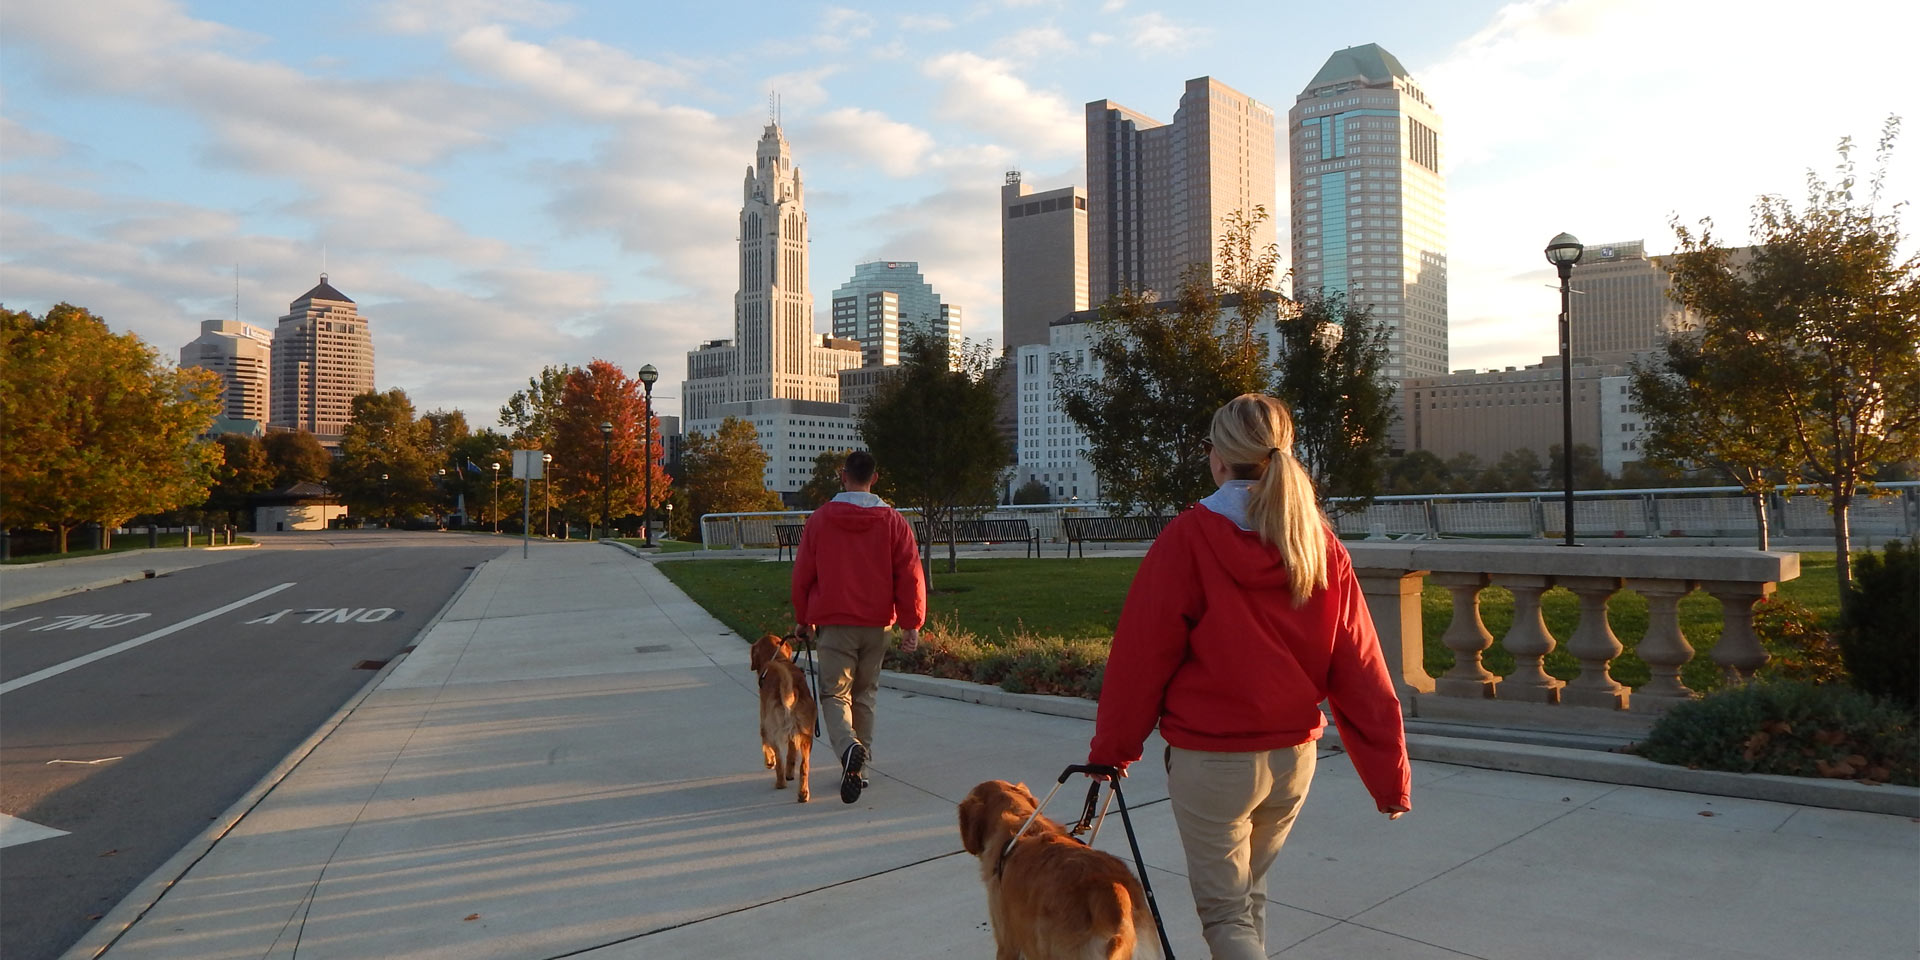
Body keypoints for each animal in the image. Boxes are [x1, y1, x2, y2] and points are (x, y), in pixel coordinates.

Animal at [744, 629, 814, 802]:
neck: (777, 658)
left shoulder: (763, 722)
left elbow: (765, 745)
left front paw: (769, 762)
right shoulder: (793, 735)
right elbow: (791, 754)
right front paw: (790, 773)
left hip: (773, 729)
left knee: (779, 758)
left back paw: (780, 783)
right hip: (807, 735)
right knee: (804, 765)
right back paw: (803, 794)